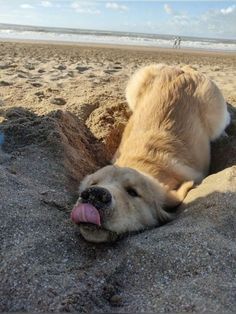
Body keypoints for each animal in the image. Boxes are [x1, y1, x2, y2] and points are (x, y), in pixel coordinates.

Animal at [70, 64, 230, 243]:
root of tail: (182, 69)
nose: (94, 194)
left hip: (215, 109)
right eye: (93, 184)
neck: (143, 163)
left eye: (133, 192)